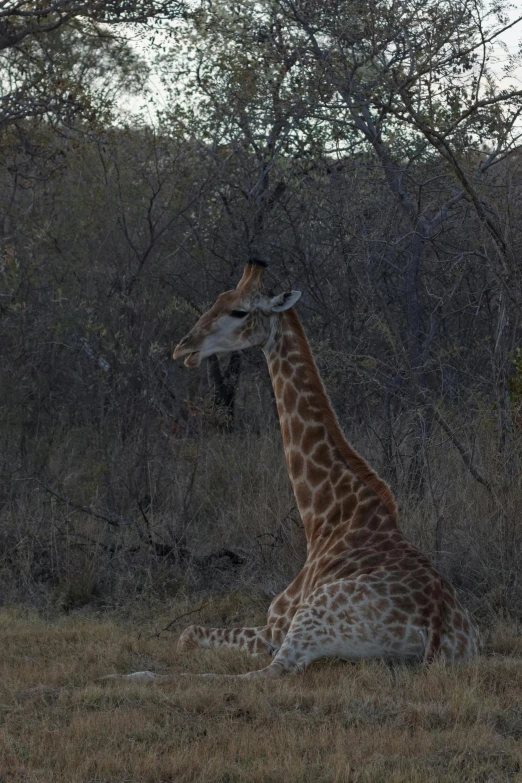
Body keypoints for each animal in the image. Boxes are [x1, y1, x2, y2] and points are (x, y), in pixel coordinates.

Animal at [112, 262, 476, 680]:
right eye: (217, 300)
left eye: (239, 311)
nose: (184, 348)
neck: (324, 517)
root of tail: (433, 628)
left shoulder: (275, 625)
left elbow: (188, 633)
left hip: (309, 618)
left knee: (266, 673)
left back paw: (129, 675)